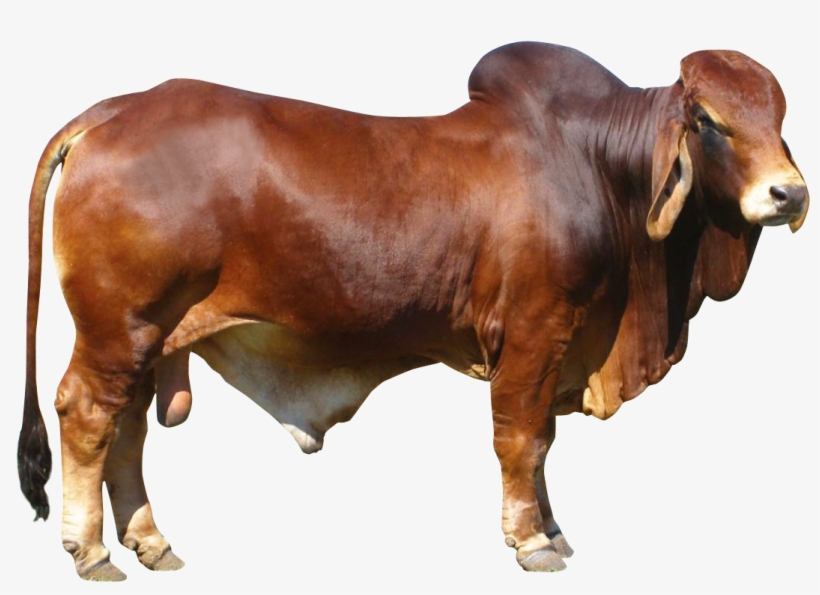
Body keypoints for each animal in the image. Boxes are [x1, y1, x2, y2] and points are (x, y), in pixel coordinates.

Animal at [18, 42, 809, 580]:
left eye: (779, 114)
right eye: (707, 119)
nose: (789, 194)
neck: (600, 166)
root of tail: (113, 110)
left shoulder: (557, 348)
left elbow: (544, 440)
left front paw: (552, 527)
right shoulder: (534, 333)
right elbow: (522, 440)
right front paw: (530, 541)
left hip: (149, 337)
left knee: (126, 430)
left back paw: (151, 542)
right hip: (120, 327)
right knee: (87, 415)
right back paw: (91, 551)